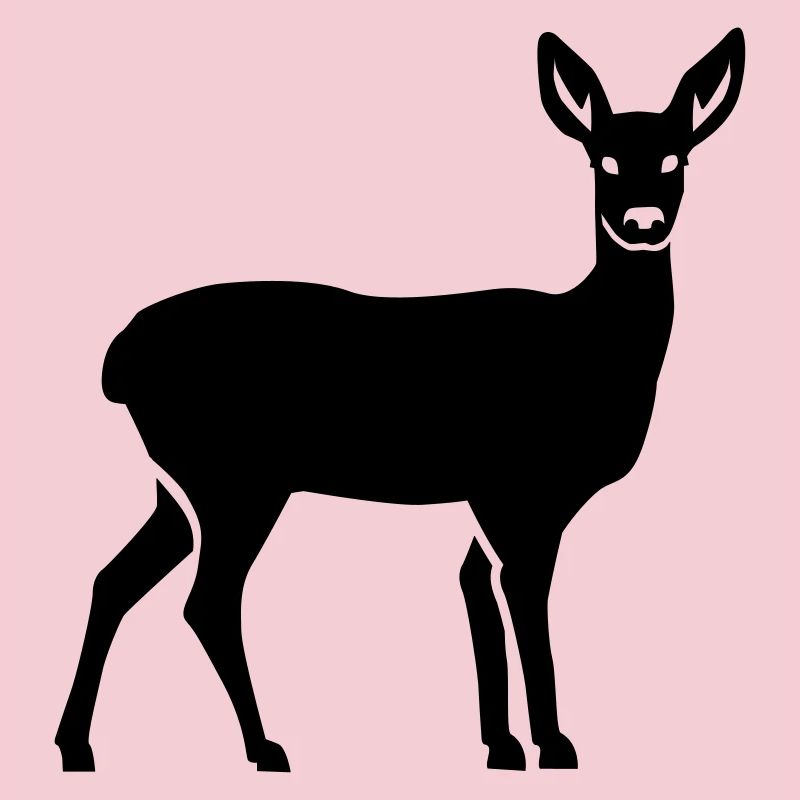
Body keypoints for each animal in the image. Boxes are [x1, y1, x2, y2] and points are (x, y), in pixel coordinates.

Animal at [56, 29, 745, 773]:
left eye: (677, 157)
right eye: (604, 159)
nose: (643, 223)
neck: (592, 348)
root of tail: (118, 360)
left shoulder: (482, 497)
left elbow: (475, 586)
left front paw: (501, 747)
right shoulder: (519, 488)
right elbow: (522, 598)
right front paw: (556, 747)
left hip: (180, 485)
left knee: (113, 579)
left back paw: (78, 745)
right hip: (236, 479)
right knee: (206, 601)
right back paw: (266, 748)